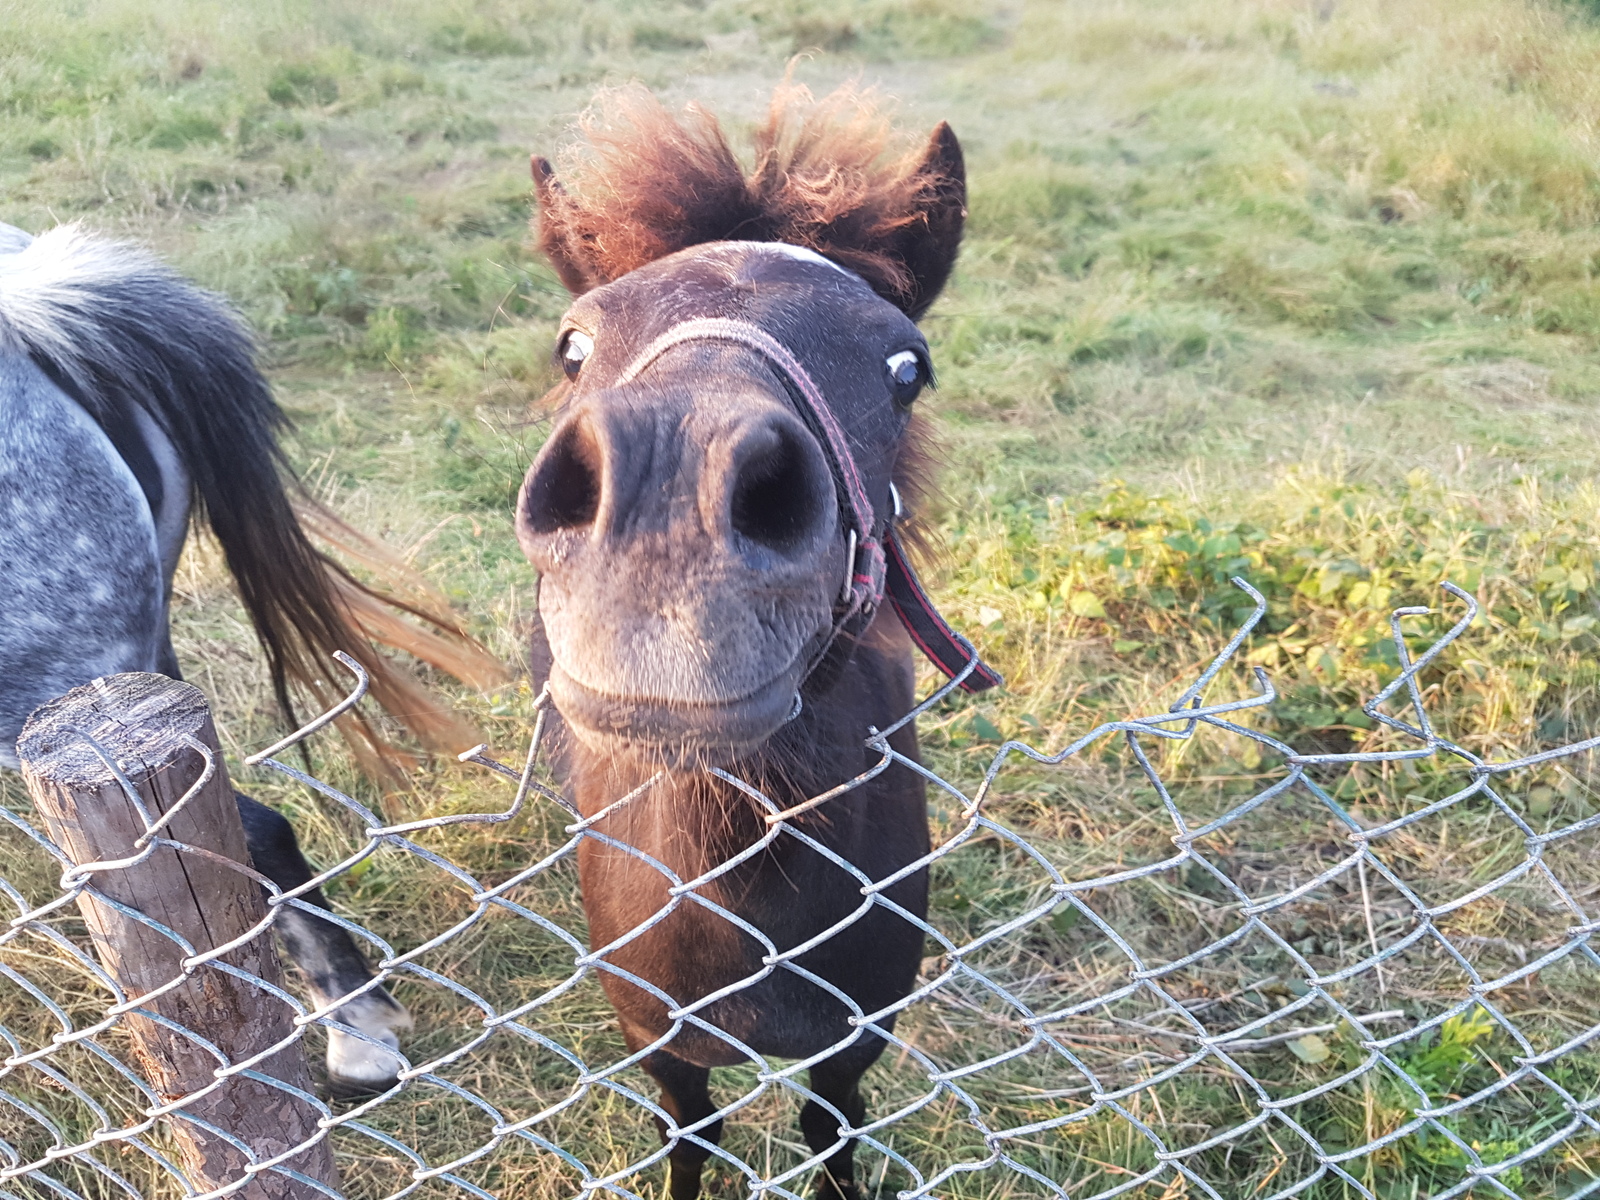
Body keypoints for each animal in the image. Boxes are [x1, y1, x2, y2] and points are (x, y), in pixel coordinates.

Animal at [524, 84, 992, 1200]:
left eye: (906, 367)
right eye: (572, 346)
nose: (668, 503)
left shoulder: (854, 1042)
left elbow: (832, 1135)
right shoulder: (657, 1044)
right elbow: (691, 1139)